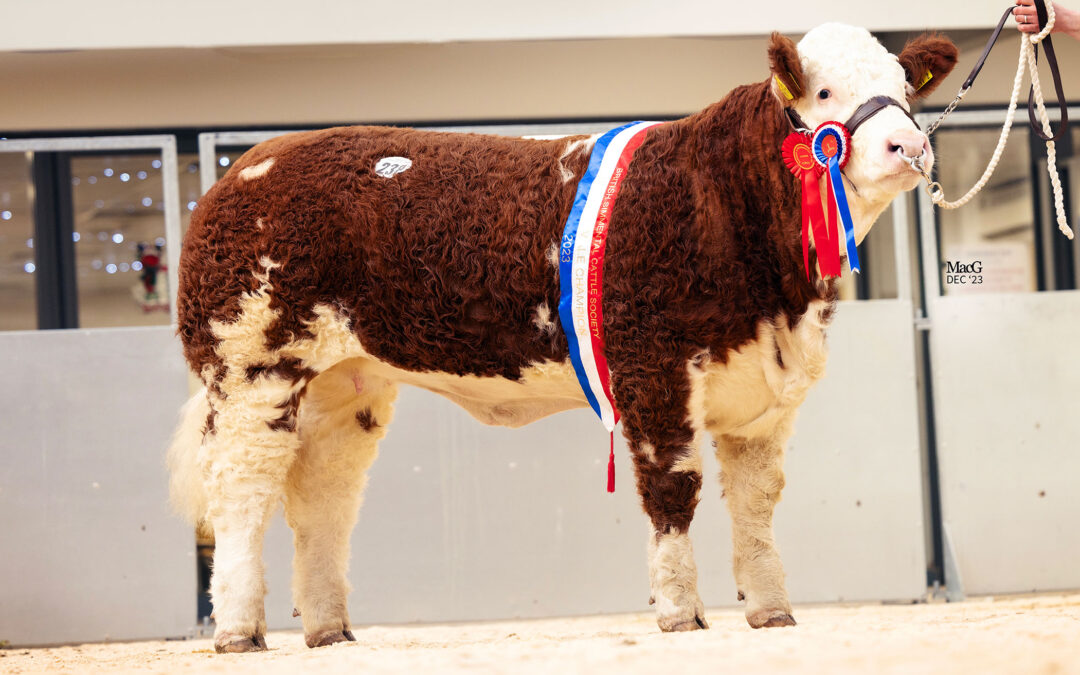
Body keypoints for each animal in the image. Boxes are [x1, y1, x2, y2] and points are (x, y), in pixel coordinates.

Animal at [168, 23, 963, 652]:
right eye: (824, 95)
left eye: (905, 88)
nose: (908, 145)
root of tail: (245, 168)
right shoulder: (651, 367)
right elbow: (673, 489)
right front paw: (680, 613)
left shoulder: (763, 391)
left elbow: (758, 501)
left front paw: (772, 611)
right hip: (253, 365)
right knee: (243, 488)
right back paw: (238, 630)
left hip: (345, 383)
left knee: (323, 496)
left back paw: (330, 629)